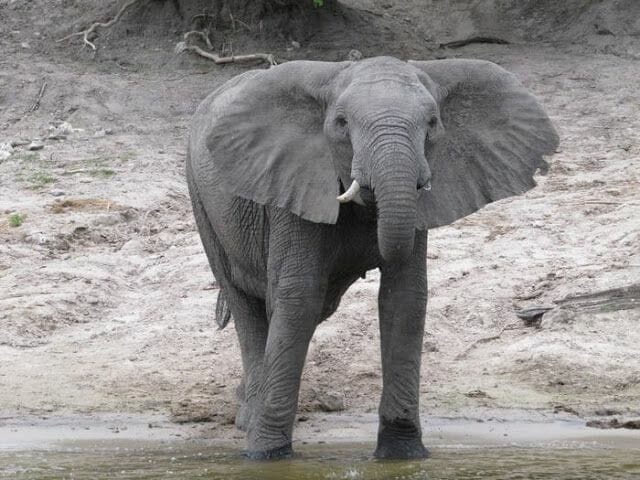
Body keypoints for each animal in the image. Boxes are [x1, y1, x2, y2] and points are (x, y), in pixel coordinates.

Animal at [186, 56, 558, 460]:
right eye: (341, 123)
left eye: (432, 123)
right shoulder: (292, 186)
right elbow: (299, 298)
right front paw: (266, 457)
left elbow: (404, 298)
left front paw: (402, 454)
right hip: (201, 200)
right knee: (246, 302)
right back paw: (248, 420)